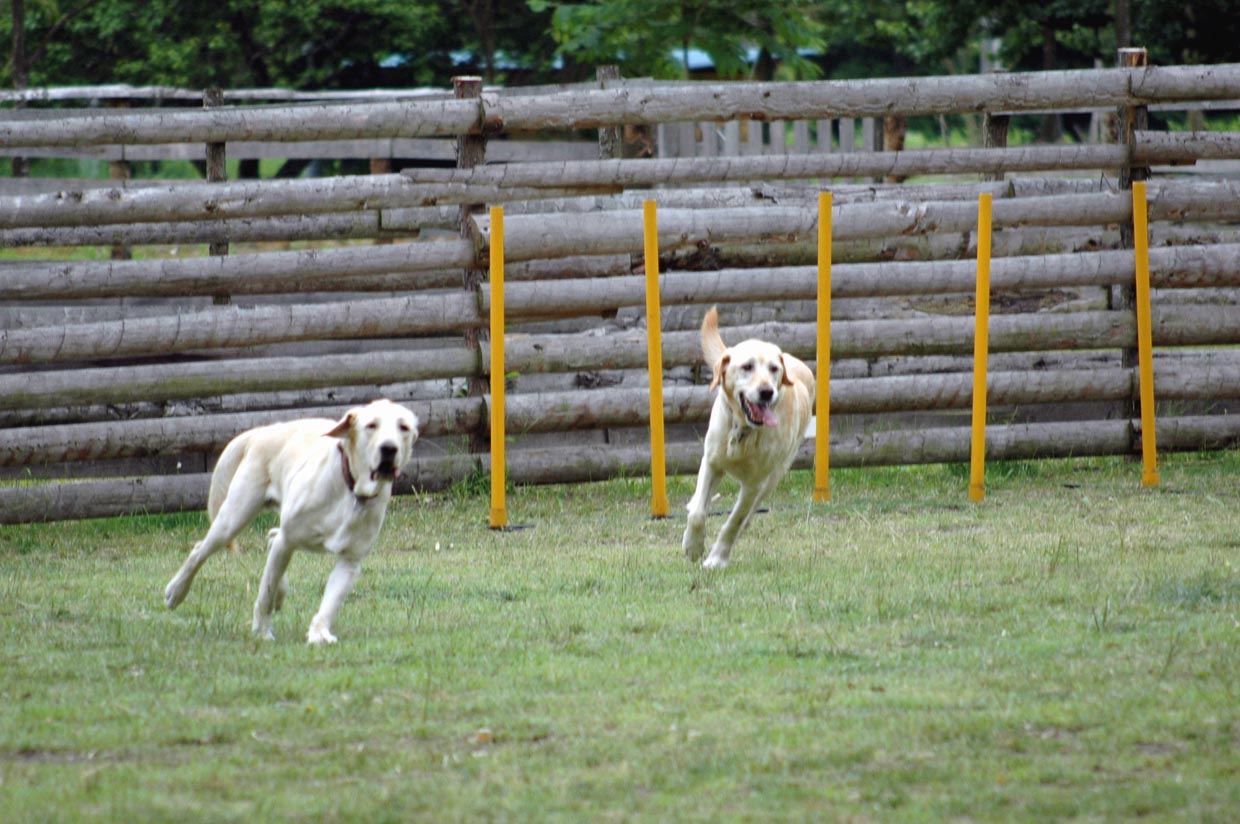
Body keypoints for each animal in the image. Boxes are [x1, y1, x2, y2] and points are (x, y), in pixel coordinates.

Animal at [164, 398, 419, 644]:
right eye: (371, 425)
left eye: (404, 427)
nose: (389, 448)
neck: (352, 490)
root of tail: (262, 431)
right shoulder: (288, 540)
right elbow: (265, 593)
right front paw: (262, 631)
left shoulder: (350, 561)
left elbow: (331, 602)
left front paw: (319, 633)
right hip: (233, 519)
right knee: (201, 549)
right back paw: (175, 592)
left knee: (272, 537)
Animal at [679, 304, 813, 569]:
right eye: (747, 367)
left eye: (774, 369)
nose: (767, 392)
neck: (742, 431)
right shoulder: (711, 462)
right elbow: (698, 512)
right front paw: (693, 546)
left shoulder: (755, 484)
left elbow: (735, 521)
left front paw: (716, 559)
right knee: (700, 504)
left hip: (774, 476)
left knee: (747, 518)